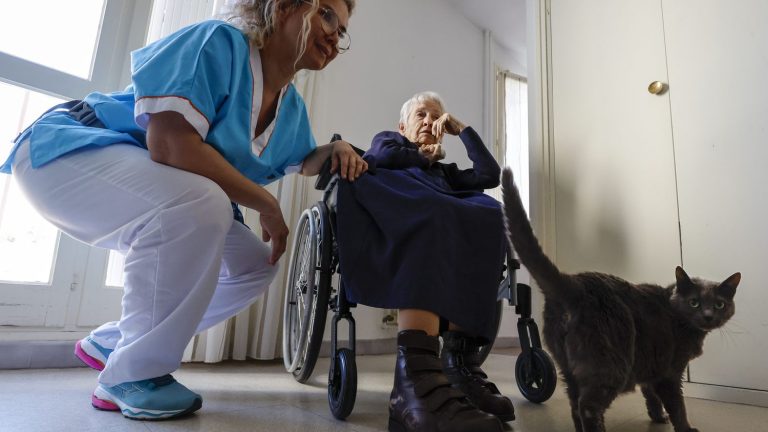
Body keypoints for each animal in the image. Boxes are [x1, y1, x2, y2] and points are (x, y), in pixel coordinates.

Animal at [500, 166, 740, 432]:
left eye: (719, 304)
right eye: (694, 302)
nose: (708, 316)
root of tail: (573, 284)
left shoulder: (651, 367)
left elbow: (651, 394)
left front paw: (657, 417)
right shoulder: (669, 372)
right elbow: (678, 405)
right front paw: (685, 428)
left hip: (567, 367)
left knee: (574, 404)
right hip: (611, 364)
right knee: (588, 406)